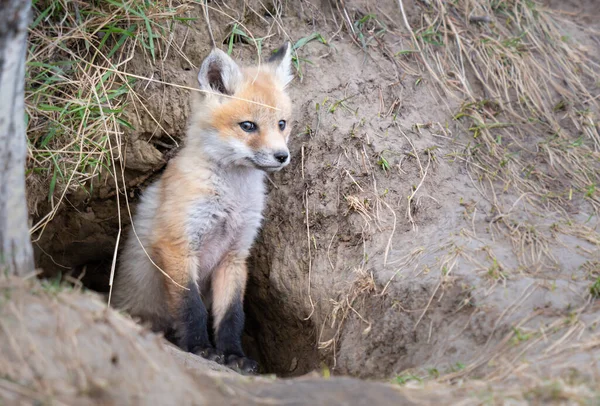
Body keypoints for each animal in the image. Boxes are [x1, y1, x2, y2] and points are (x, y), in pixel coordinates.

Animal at [113, 42, 296, 374]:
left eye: (281, 124)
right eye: (248, 126)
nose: (282, 156)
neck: (231, 199)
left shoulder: (234, 255)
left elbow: (232, 315)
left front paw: (234, 355)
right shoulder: (178, 245)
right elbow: (191, 306)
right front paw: (200, 348)